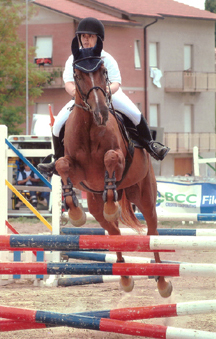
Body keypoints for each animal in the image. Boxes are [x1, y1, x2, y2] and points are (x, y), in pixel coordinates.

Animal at [55, 35, 172, 298]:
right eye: (77, 74)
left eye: (103, 71)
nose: (100, 113)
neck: (90, 127)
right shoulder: (79, 172)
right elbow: (62, 164)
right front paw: (74, 211)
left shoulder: (117, 157)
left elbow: (110, 158)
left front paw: (109, 204)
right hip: (95, 202)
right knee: (113, 232)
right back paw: (125, 277)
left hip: (144, 195)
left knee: (152, 232)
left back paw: (162, 282)